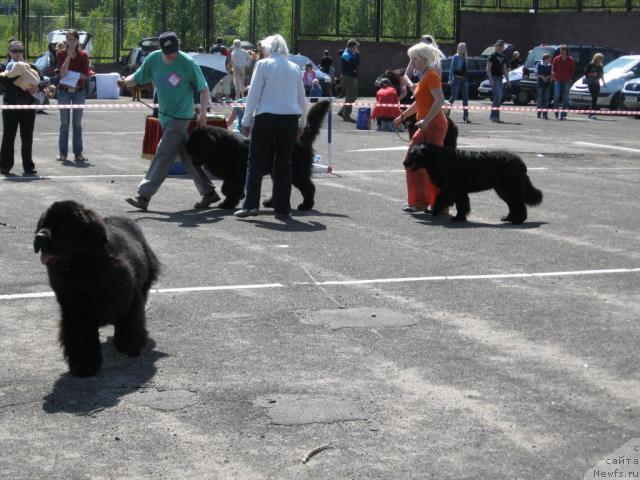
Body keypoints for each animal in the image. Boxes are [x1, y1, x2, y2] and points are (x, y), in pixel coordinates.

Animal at [34, 201, 160, 376]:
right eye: (43, 224)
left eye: (63, 225)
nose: (39, 236)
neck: (84, 267)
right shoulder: (76, 311)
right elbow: (82, 338)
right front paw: (84, 366)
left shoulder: (129, 298)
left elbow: (130, 322)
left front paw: (130, 347)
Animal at [184, 99, 330, 210]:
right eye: (191, 149)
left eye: (199, 149)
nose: (194, 162)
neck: (220, 149)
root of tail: (300, 138)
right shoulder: (231, 175)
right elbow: (226, 188)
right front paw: (238, 197)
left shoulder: (237, 175)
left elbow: (231, 189)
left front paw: (228, 203)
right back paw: (271, 203)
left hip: (297, 171)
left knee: (308, 187)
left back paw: (306, 205)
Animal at [402, 143, 544, 224]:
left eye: (412, 154)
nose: (404, 163)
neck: (435, 158)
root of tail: (521, 163)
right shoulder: (458, 191)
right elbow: (461, 204)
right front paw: (459, 217)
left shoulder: (452, 189)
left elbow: (444, 200)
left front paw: (451, 216)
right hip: (503, 189)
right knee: (513, 205)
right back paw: (508, 218)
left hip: (507, 188)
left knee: (518, 204)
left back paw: (517, 220)